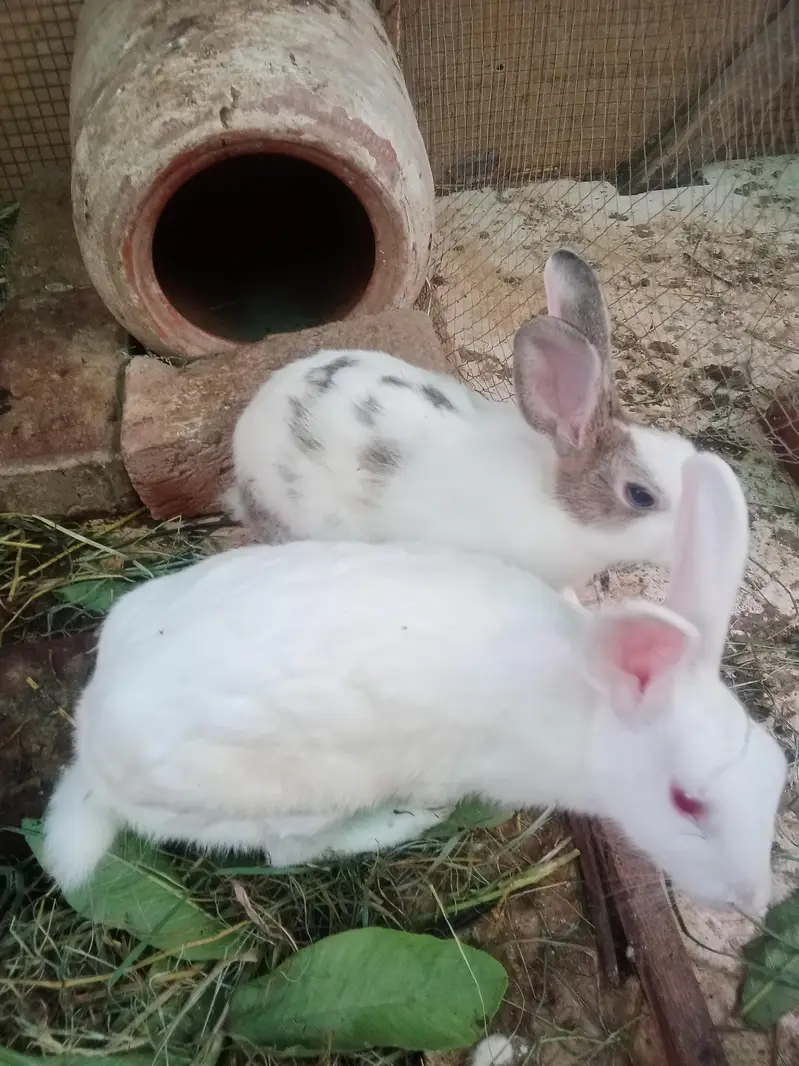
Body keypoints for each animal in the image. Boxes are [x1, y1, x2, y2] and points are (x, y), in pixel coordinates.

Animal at [42, 452, 786, 916]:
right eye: (686, 802)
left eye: (781, 772)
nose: (751, 900)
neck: (588, 710)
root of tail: (93, 754)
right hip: (297, 796)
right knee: (288, 851)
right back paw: (399, 823)